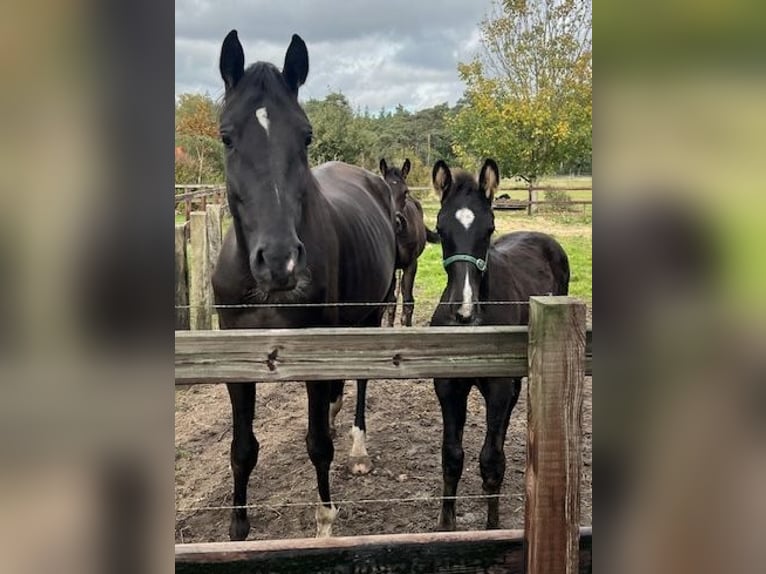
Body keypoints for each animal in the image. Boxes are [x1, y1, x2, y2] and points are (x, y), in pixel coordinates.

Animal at [214, 31, 400, 544]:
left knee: (358, 384)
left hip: (371, 315)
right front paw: (238, 528)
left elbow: (318, 445)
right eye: (226, 136)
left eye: (306, 135)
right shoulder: (235, 360)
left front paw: (324, 523)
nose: (280, 261)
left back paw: (357, 448)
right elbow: (242, 447)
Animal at [380, 158, 440, 328]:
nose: (397, 223)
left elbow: (408, 301)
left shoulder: (411, 264)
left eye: (405, 192)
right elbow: (391, 302)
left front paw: (406, 326)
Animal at [432, 158, 568, 532]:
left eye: (489, 228)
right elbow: (452, 457)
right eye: (440, 228)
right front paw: (445, 527)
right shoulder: (448, 385)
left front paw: (492, 527)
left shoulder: (498, 386)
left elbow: (491, 461)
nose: (463, 310)